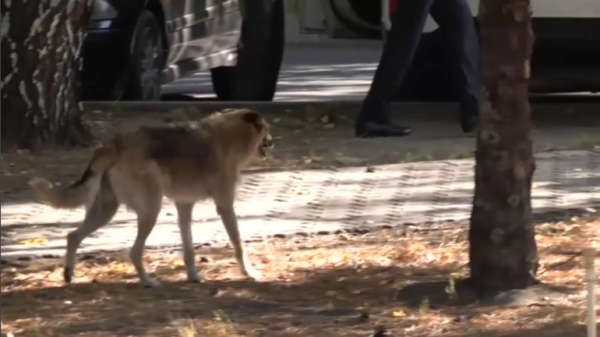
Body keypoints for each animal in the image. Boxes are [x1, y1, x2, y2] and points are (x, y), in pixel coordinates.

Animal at [29, 108, 274, 286]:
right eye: (267, 130)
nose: (272, 142)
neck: (230, 137)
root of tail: (114, 143)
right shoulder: (225, 206)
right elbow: (239, 244)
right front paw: (249, 273)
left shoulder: (184, 207)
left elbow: (189, 250)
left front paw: (193, 276)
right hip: (151, 210)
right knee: (134, 252)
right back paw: (147, 281)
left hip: (106, 212)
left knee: (72, 236)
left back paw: (69, 274)